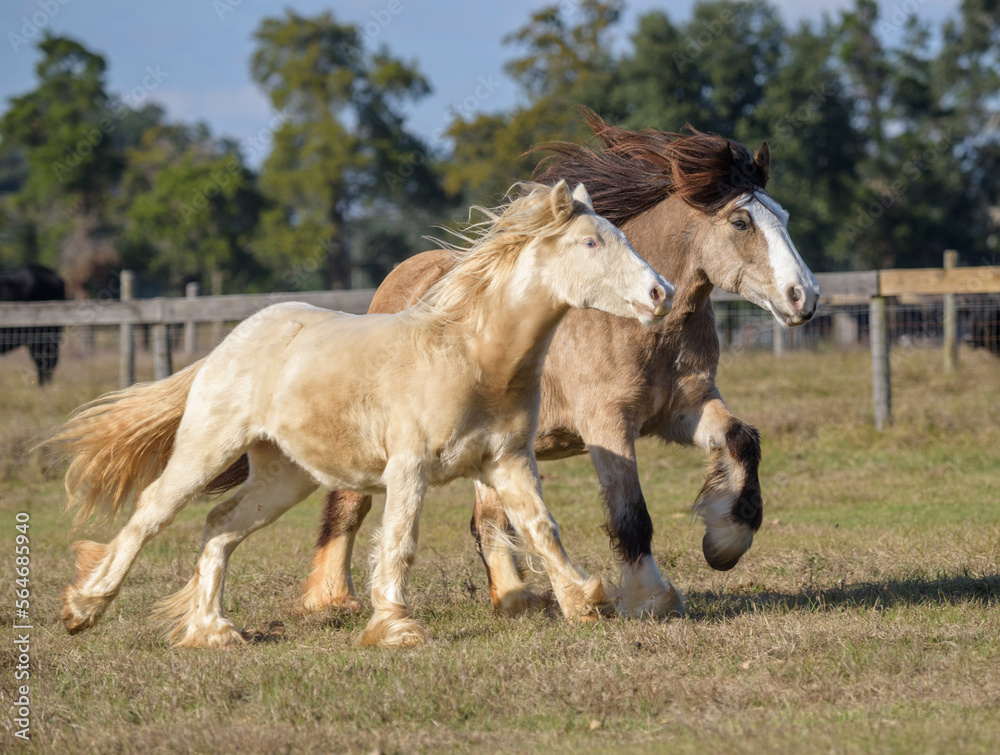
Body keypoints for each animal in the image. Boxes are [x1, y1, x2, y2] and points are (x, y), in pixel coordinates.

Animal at [51, 181, 674, 649]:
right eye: (590, 243)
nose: (660, 292)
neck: (472, 357)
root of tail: (229, 343)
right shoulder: (409, 466)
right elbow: (400, 540)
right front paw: (394, 627)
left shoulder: (509, 462)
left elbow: (542, 528)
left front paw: (583, 602)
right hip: (207, 448)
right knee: (151, 513)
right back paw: (84, 608)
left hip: (285, 476)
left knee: (221, 524)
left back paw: (213, 630)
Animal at [283, 112, 821, 619]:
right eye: (741, 222)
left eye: (783, 215)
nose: (805, 296)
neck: (637, 324)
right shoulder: (607, 424)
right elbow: (632, 514)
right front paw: (651, 597)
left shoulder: (684, 409)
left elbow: (743, 440)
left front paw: (725, 541)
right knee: (348, 504)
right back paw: (331, 599)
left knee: (488, 520)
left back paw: (518, 599)